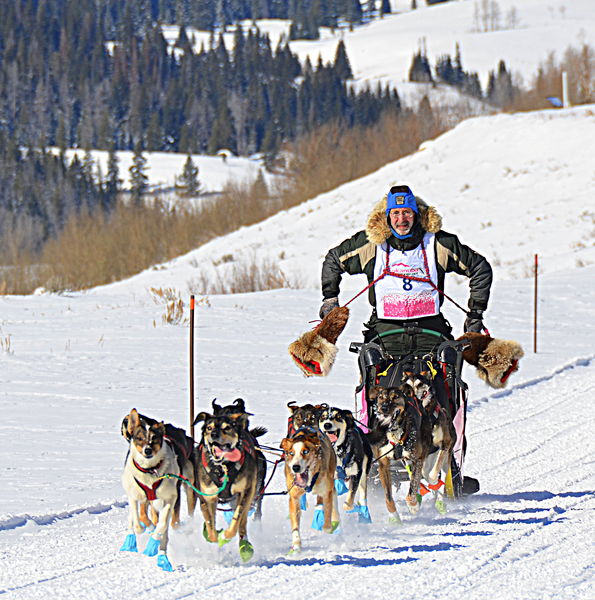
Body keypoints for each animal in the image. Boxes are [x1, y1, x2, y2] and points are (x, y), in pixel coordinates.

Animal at [280, 428, 340, 556]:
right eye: (291, 453)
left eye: (305, 451)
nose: (295, 467)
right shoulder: (294, 497)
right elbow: (295, 525)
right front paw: (296, 545)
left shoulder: (326, 491)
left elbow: (328, 512)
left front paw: (327, 527)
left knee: (333, 501)